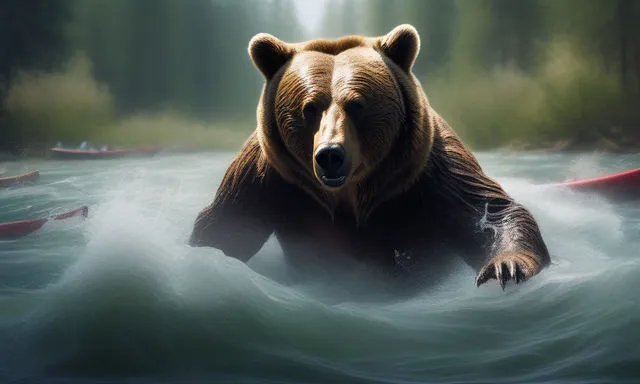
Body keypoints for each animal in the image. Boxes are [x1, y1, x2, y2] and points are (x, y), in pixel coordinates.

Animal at [189, 24, 552, 288]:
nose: (330, 155)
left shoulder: (430, 171)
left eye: (357, 104)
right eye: (309, 108)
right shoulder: (268, 177)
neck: (350, 194)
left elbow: (488, 212)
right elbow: (224, 226)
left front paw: (505, 267)